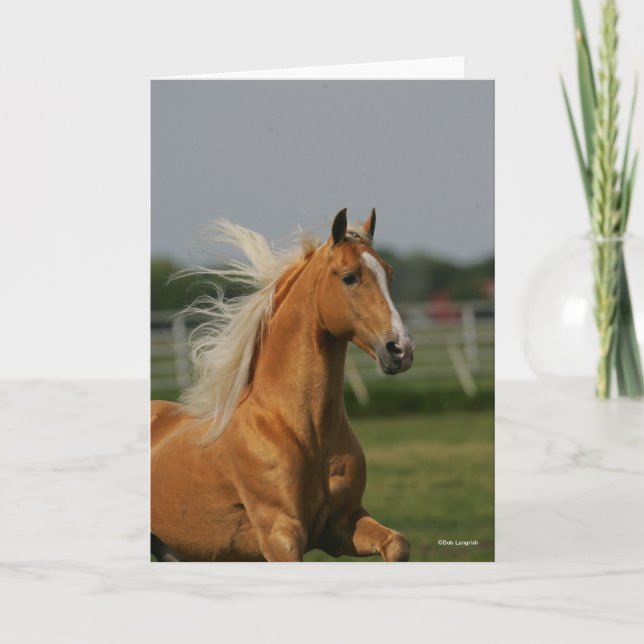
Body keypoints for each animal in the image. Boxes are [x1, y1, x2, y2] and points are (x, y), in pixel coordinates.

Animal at [151, 208, 415, 561]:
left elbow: (398, 544)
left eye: (390, 274)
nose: (401, 350)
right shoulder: (281, 535)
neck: (301, 431)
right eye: (349, 277)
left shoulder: (343, 524)